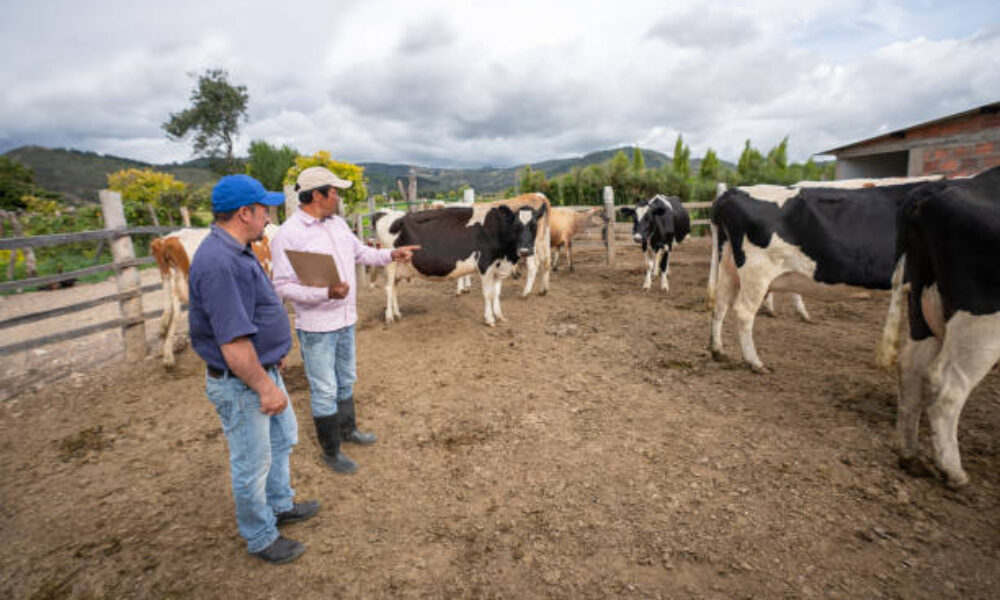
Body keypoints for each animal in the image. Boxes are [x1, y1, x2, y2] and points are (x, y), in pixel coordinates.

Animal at [374, 202, 548, 326]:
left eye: (534, 226)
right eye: (516, 226)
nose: (524, 251)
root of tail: (388, 214)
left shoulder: (499, 268)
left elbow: (496, 293)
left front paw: (499, 316)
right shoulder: (486, 265)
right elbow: (488, 294)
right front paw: (489, 319)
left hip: (400, 265)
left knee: (394, 288)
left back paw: (397, 314)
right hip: (390, 262)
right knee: (388, 288)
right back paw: (389, 317)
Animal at [708, 179, 940, 370]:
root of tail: (732, 193)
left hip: (729, 265)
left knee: (720, 303)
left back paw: (718, 350)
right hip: (757, 272)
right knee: (743, 312)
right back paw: (754, 362)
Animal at [892, 164, 1000, 488]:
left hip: (922, 307)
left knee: (910, 366)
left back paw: (910, 455)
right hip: (983, 323)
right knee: (948, 389)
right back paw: (953, 471)